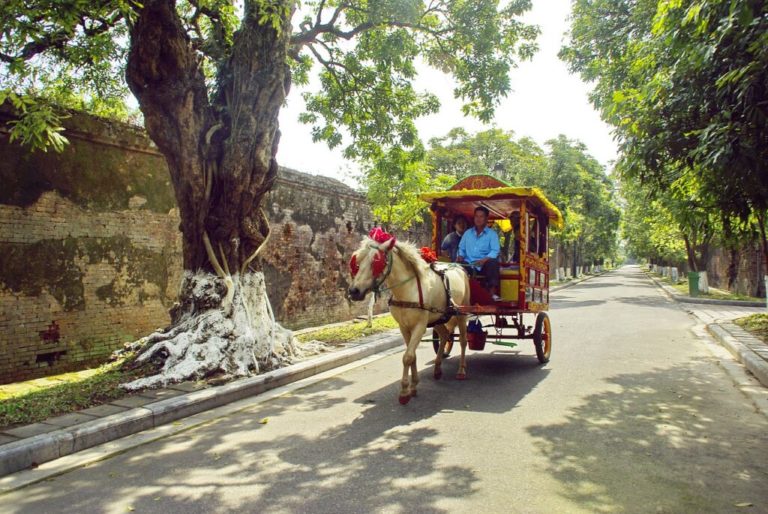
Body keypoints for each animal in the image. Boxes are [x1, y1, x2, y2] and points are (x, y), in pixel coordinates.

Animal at [346, 232, 468, 404]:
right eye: (358, 261)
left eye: (376, 262)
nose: (354, 291)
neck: (407, 290)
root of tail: (459, 267)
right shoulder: (404, 327)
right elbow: (412, 356)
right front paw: (413, 386)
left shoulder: (420, 327)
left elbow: (407, 356)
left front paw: (404, 391)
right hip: (436, 318)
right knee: (444, 335)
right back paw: (437, 368)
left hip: (462, 313)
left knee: (463, 341)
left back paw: (461, 370)